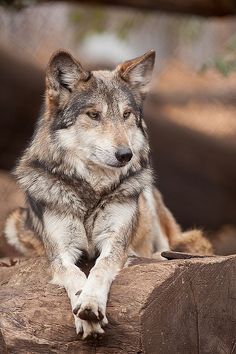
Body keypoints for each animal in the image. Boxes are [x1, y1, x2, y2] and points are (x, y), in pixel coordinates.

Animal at [4, 49, 212, 338]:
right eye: (93, 115)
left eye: (126, 114)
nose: (126, 155)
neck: (92, 191)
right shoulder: (60, 252)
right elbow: (75, 274)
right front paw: (83, 308)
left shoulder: (114, 242)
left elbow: (100, 268)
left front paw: (90, 303)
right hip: (15, 224)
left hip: (146, 195)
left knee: (165, 248)